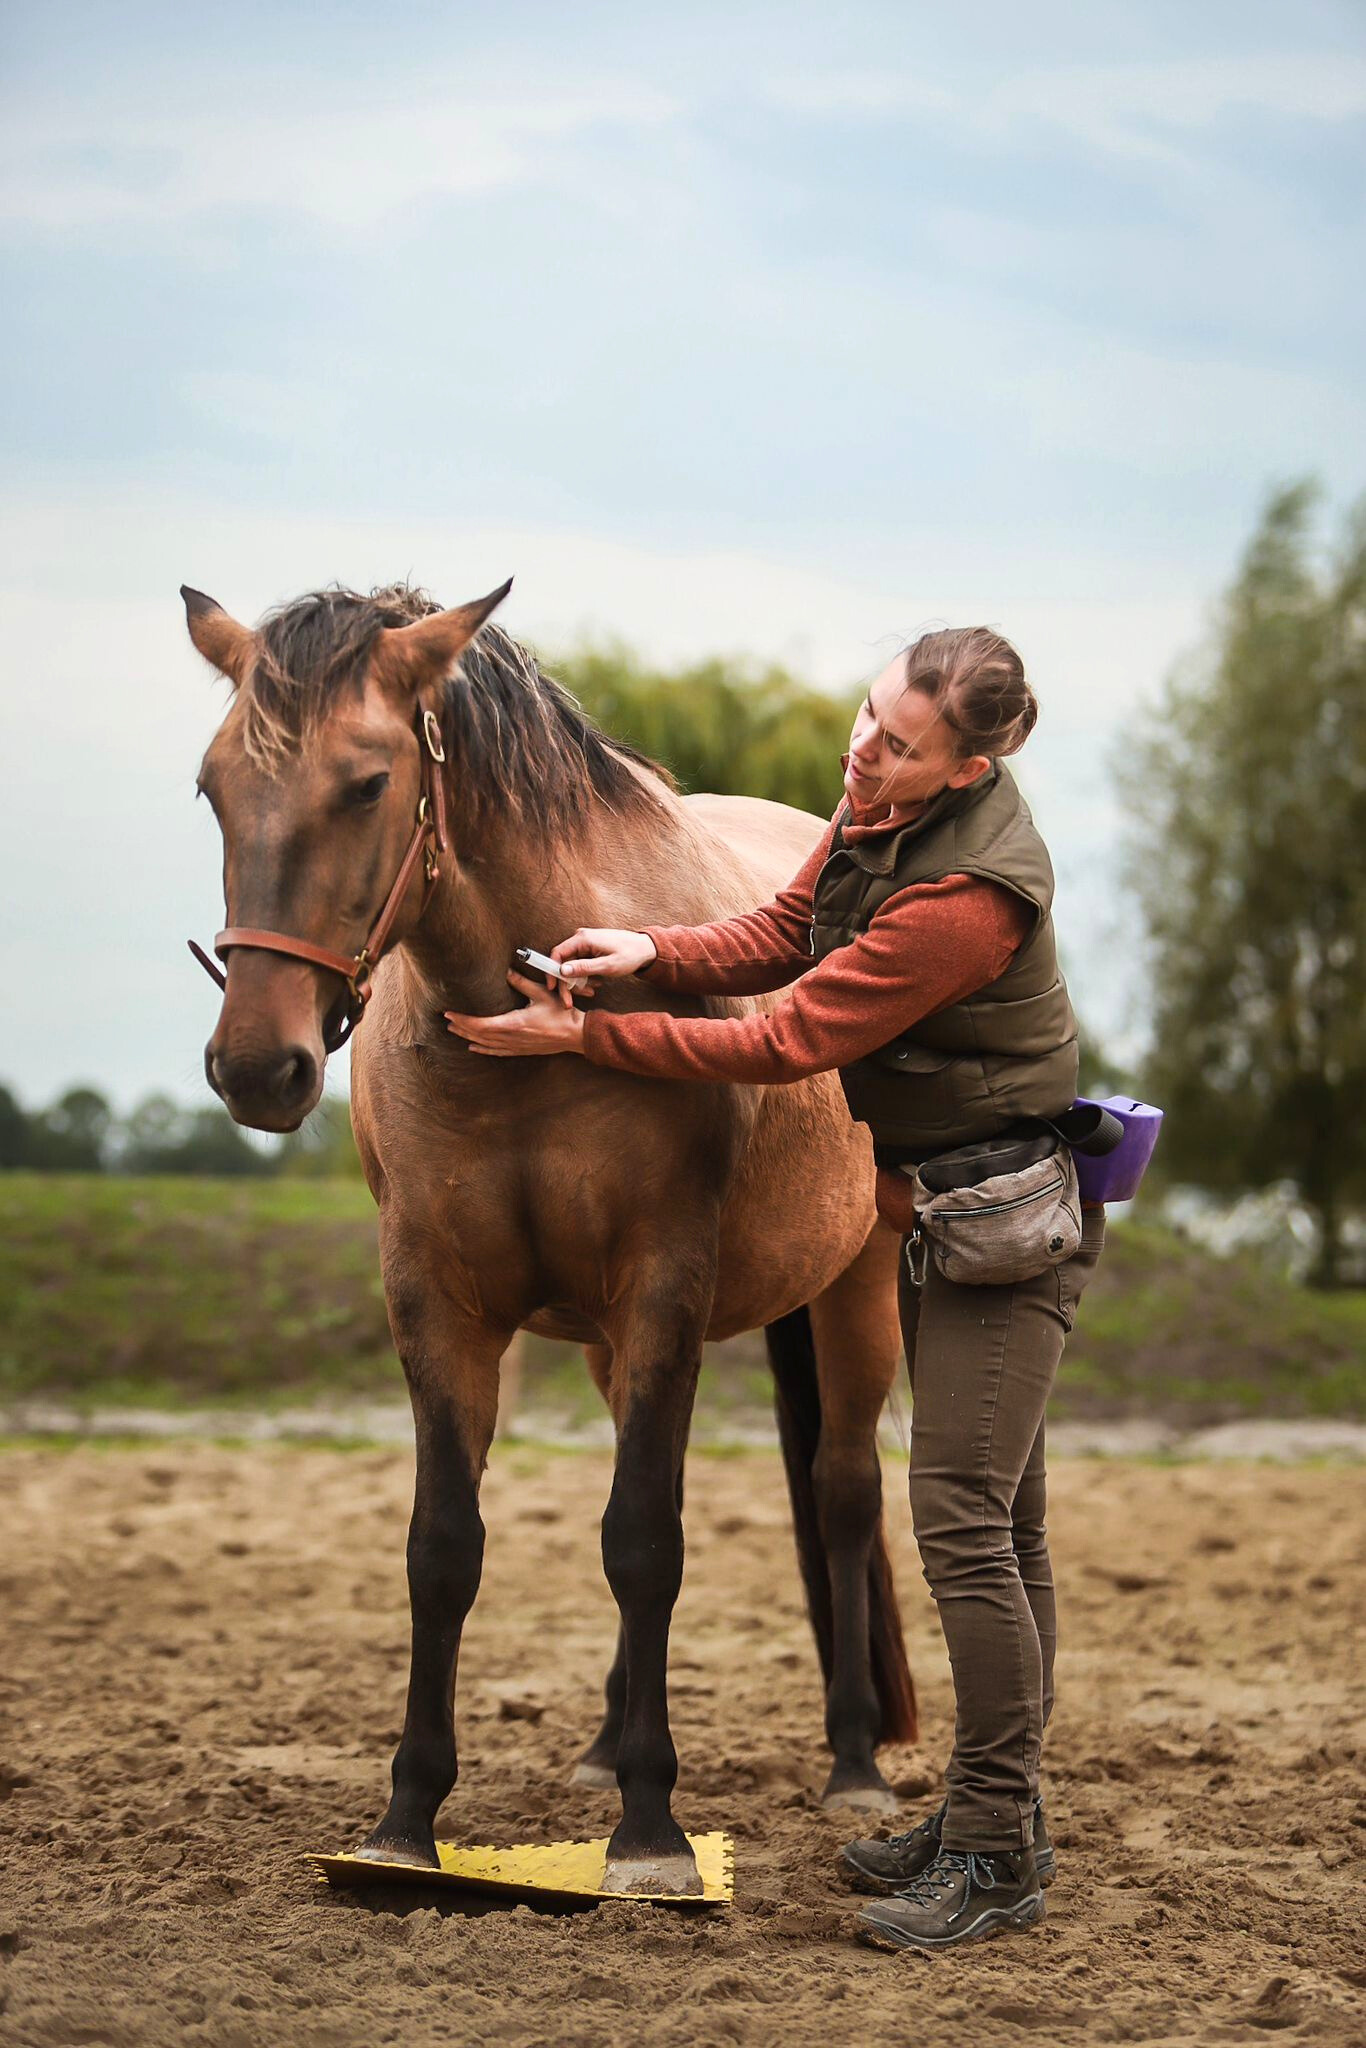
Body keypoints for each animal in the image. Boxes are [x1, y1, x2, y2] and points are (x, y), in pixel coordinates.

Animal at [184, 576, 917, 1897]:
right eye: (214, 785)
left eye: (366, 783)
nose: (258, 1065)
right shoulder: (439, 1302)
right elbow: (445, 1546)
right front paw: (405, 1820)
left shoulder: (664, 1286)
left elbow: (645, 1542)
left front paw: (651, 1831)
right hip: (613, 1342)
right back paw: (603, 1745)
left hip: (856, 1288)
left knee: (839, 1494)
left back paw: (850, 1764)